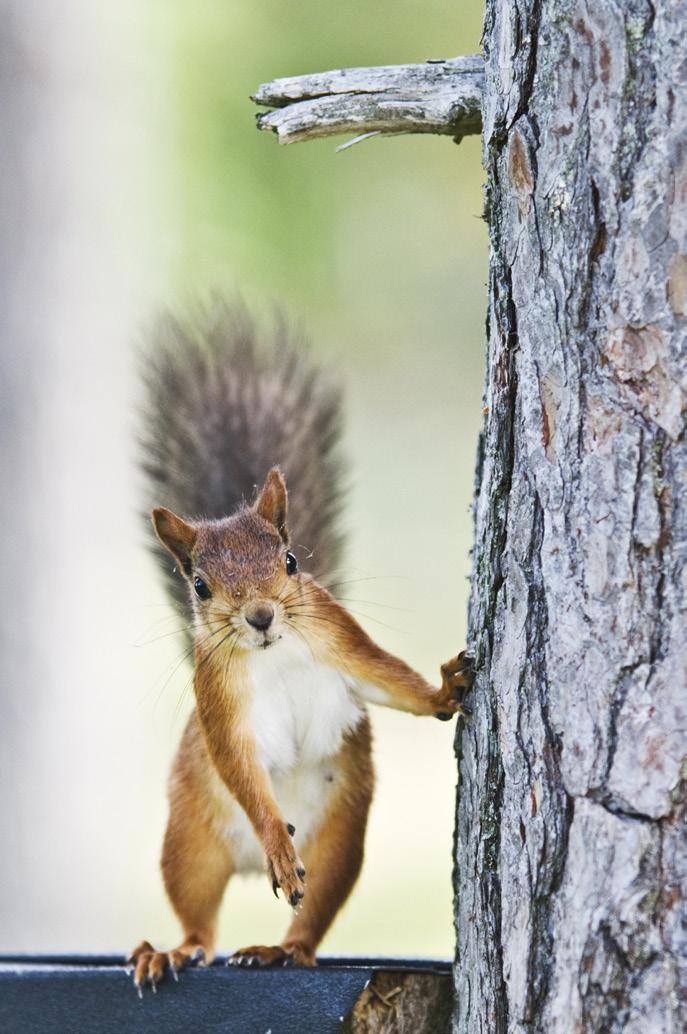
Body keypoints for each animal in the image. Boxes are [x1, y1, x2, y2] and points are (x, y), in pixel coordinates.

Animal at [128, 301, 471, 988]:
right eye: (200, 586)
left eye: (289, 561)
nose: (260, 616)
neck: (276, 651)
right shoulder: (217, 696)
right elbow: (237, 761)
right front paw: (277, 843)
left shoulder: (336, 634)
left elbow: (386, 677)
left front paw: (444, 691)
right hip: (189, 844)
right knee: (199, 921)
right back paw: (174, 949)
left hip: (340, 842)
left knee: (309, 924)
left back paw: (282, 949)